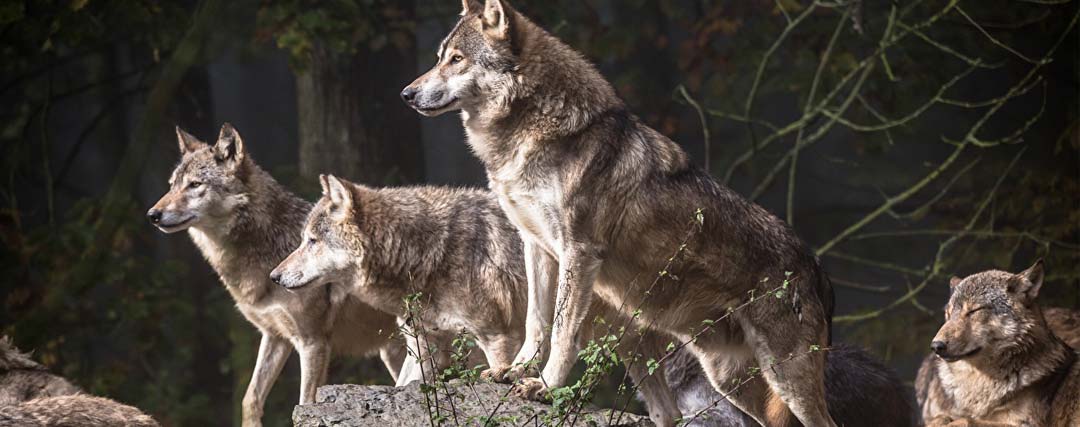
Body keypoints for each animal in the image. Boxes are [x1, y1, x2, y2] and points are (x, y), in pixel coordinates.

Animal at [145, 124, 410, 427]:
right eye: (172, 185)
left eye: (195, 185)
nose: (153, 214)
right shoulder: (275, 336)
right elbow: (250, 399)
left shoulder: (313, 343)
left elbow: (305, 403)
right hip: (392, 351)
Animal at [268, 175, 682, 425]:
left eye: (311, 241)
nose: (274, 276)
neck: (428, 252)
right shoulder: (424, 347)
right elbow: (403, 389)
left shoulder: (498, 339)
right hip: (636, 358)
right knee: (669, 412)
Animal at [403, 1, 833, 425]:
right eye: (440, 57)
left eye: (456, 59)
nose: (407, 93)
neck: (535, 130)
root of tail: (816, 265)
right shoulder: (536, 246)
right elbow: (536, 322)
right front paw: (515, 371)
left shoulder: (579, 251)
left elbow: (562, 330)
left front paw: (546, 387)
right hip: (730, 379)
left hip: (785, 378)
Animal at [911, 262, 1080, 425]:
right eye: (948, 314)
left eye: (974, 311)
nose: (936, 346)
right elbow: (943, 418)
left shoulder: (1025, 423)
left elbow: (966, 420)